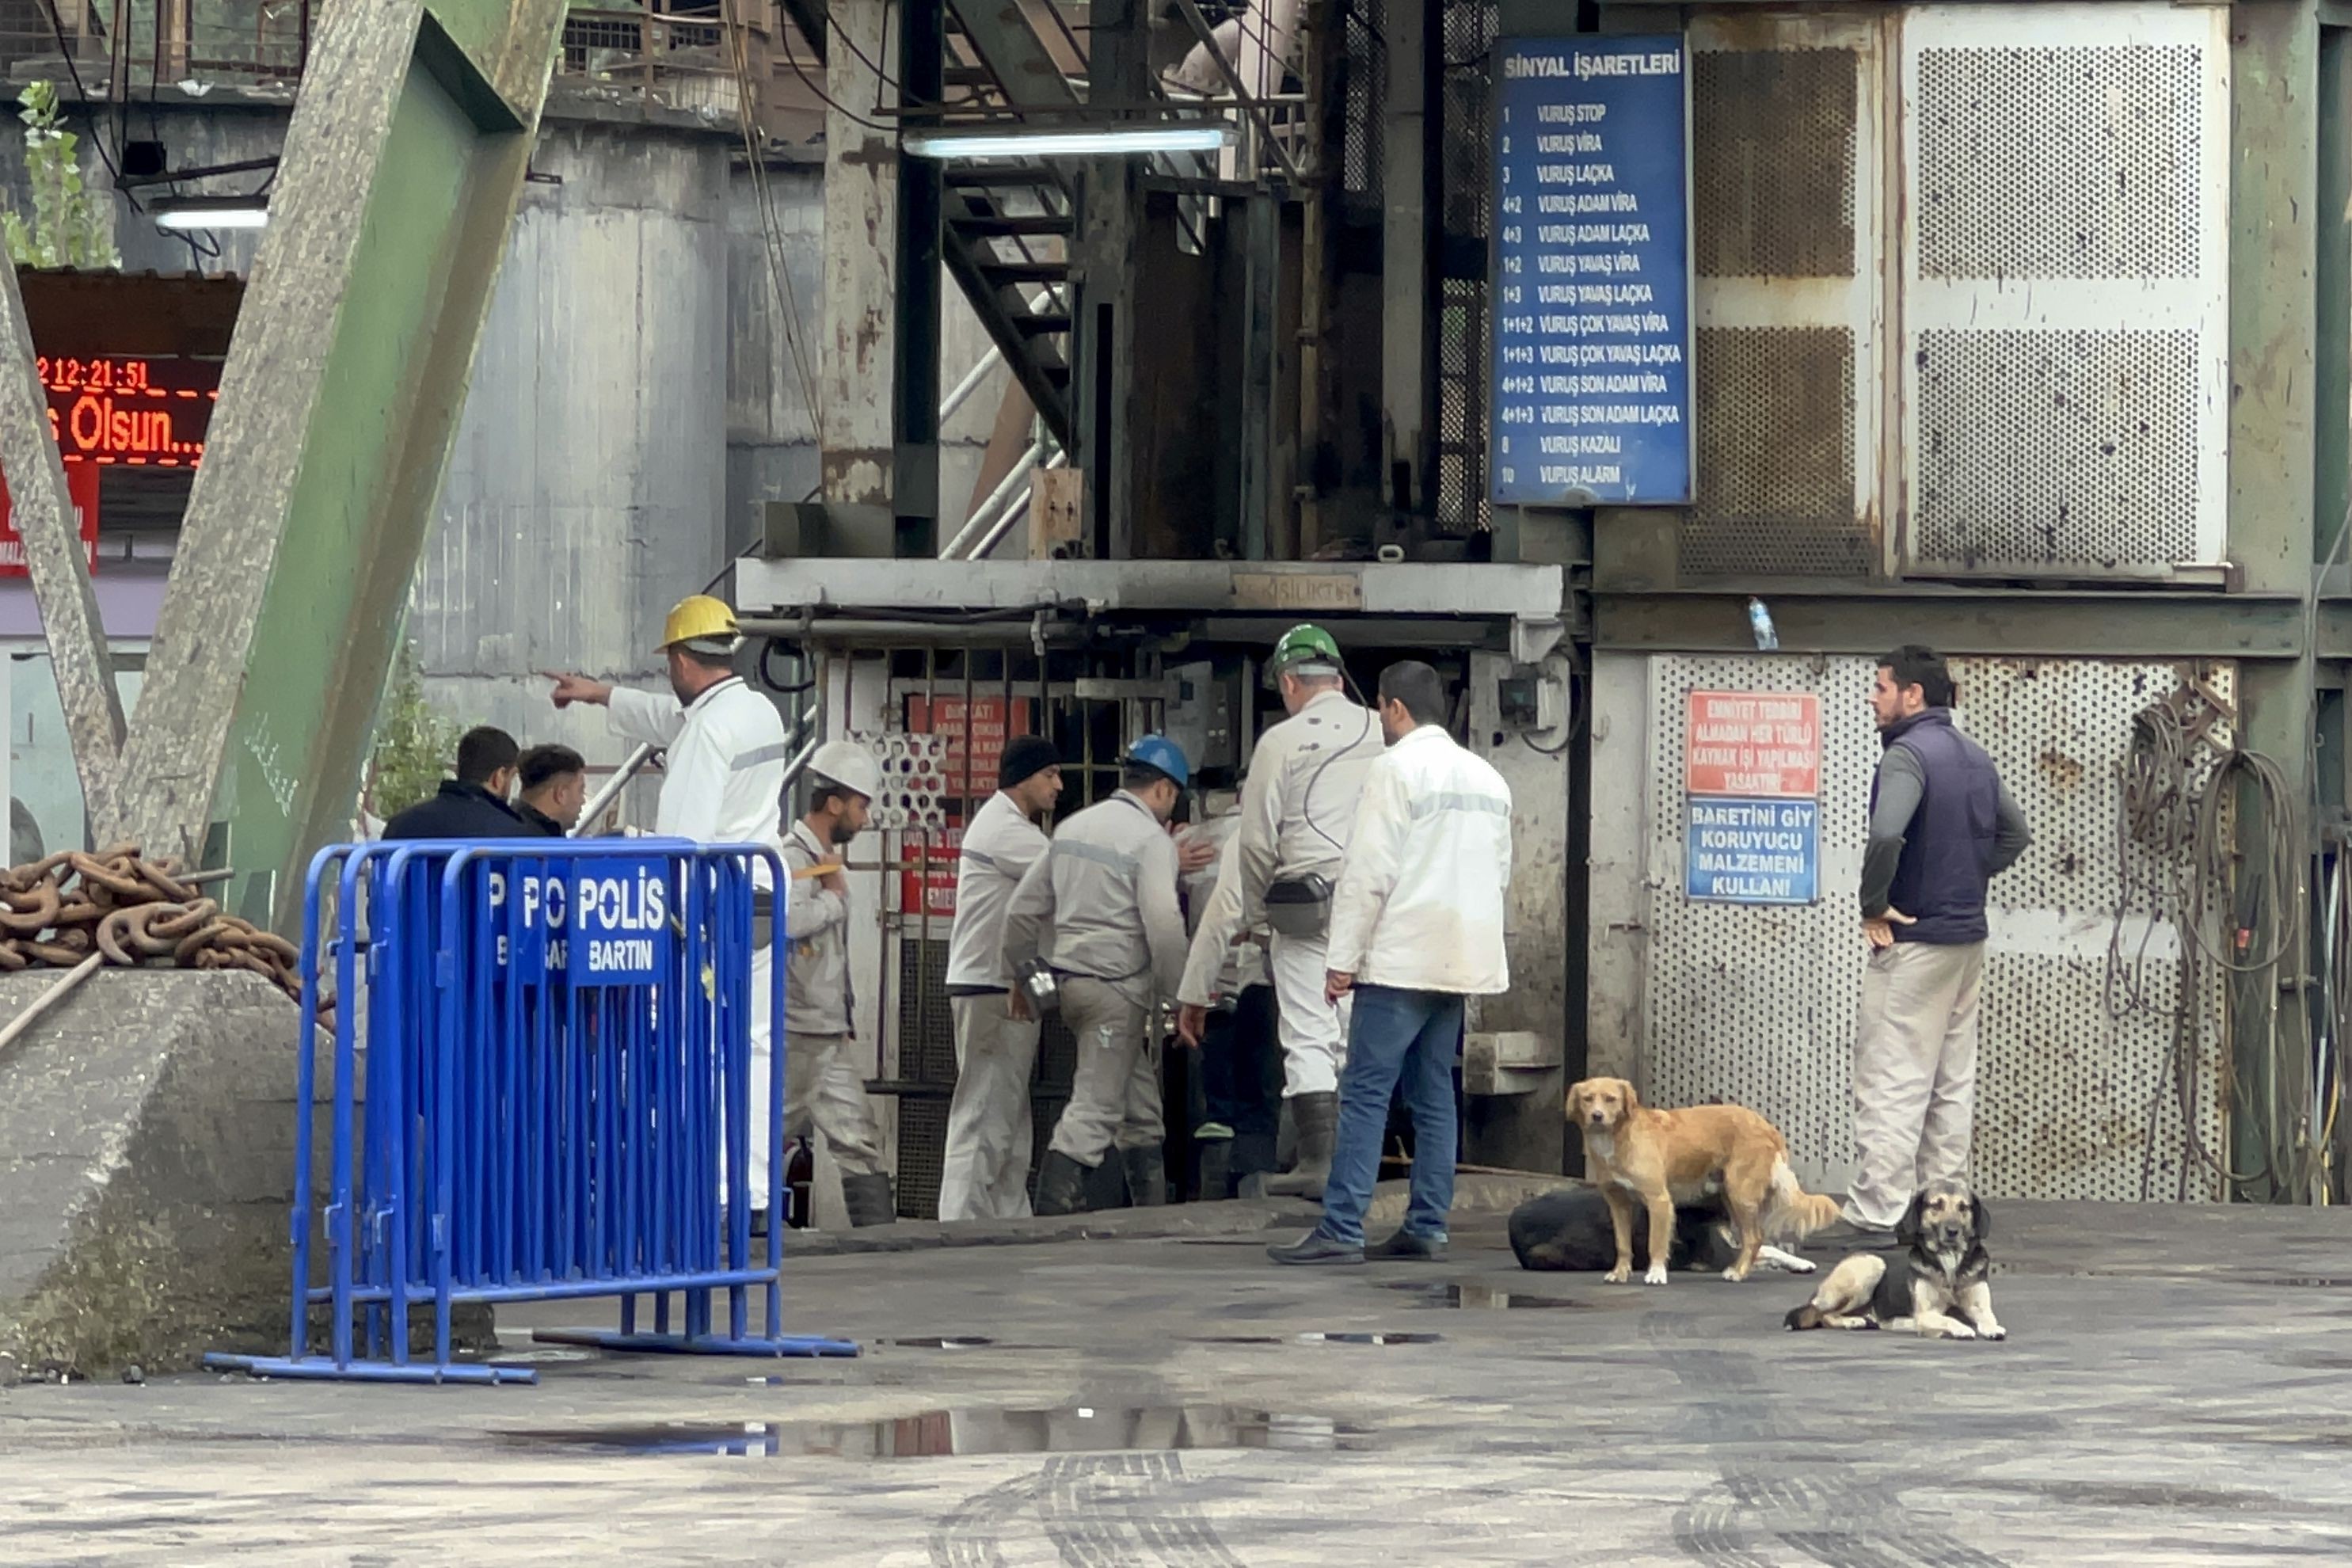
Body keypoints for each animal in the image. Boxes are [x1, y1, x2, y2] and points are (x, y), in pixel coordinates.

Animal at [1570, 1081, 1844, 1288]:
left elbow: (1656, 1243)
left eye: (1611, 1099)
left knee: (1755, 1238)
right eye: (1587, 1099)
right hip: (1733, 1197)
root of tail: (1766, 1126)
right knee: (1753, 1241)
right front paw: (1620, 1273)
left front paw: (1656, 1274)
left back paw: (1738, 1273)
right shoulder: (1618, 1204)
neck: (1617, 1139)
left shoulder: (1659, 1200)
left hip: (1740, 1193)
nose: (1597, 1116)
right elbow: (1623, 1244)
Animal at [1778, 1185, 2004, 1344]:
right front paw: (1962, 1328)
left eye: (1963, 1207)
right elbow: (1949, 1319)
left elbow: (1988, 1317)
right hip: (1871, 1266)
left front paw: (1993, 1328)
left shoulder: (1979, 1306)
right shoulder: (1925, 1314)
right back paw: (1853, 1321)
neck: (1949, 1259)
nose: (1952, 1231)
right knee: (1824, 1315)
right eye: (1936, 1205)